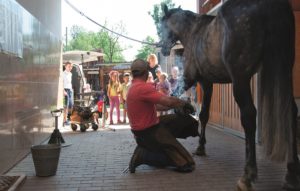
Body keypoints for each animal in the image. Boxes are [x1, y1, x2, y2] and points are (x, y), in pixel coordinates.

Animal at [159, 0, 298, 190]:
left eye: (161, 24)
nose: (163, 48)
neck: (193, 31)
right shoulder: (208, 83)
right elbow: (204, 115)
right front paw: (201, 146)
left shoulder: (196, 80)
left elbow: (200, 112)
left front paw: (200, 147)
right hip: (282, 70)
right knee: (290, 113)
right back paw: (291, 174)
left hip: (240, 80)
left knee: (249, 116)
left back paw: (247, 176)